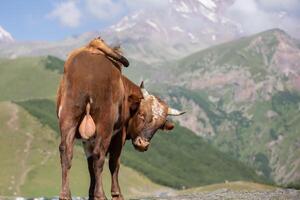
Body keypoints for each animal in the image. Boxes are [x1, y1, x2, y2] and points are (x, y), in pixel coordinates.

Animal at [55, 39, 184, 199]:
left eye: (159, 125)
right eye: (141, 114)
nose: (143, 144)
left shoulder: (88, 139)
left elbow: (90, 164)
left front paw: (91, 193)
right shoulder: (119, 134)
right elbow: (114, 163)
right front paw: (116, 194)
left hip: (69, 115)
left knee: (66, 151)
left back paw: (65, 194)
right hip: (105, 123)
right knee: (99, 155)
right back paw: (101, 195)